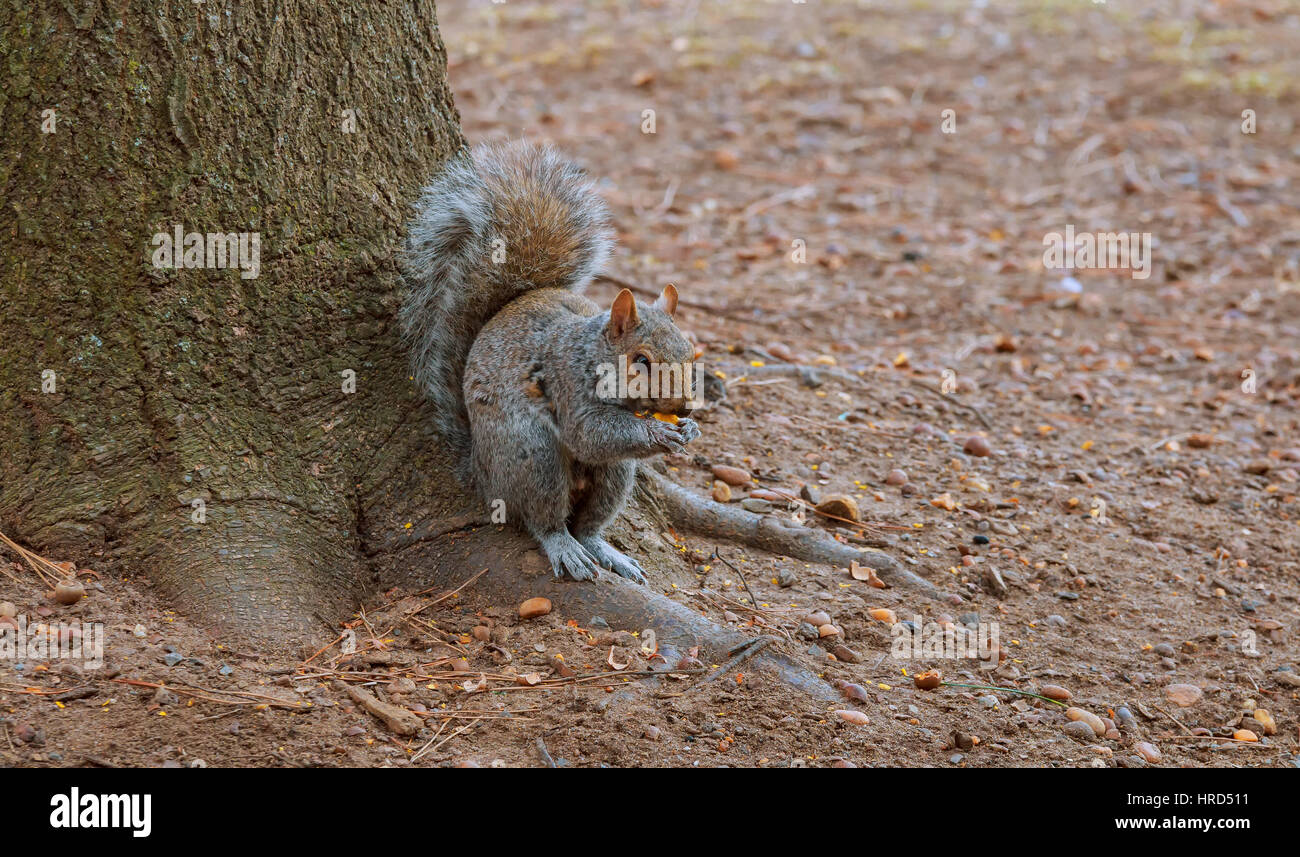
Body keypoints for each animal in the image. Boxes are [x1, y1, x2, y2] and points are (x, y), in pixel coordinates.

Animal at [401, 141, 701, 583]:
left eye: (687, 351)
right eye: (641, 360)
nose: (683, 407)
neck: (591, 353)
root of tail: (482, 473)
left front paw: (690, 429)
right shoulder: (566, 382)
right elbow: (588, 432)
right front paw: (659, 432)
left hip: (614, 474)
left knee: (589, 521)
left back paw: (604, 550)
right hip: (531, 455)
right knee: (544, 519)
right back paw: (565, 548)